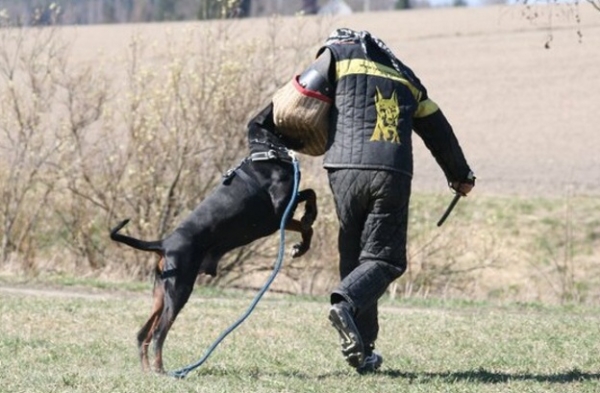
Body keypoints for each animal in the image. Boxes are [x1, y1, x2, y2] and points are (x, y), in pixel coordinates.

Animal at [111, 104, 318, 374]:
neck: (266, 154)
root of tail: (164, 244)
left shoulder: (282, 215)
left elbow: (308, 215)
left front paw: (301, 244)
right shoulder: (279, 212)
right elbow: (309, 201)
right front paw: (308, 223)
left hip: (160, 294)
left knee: (142, 334)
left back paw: (148, 370)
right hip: (179, 290)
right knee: (158, 333)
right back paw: (161, 370)